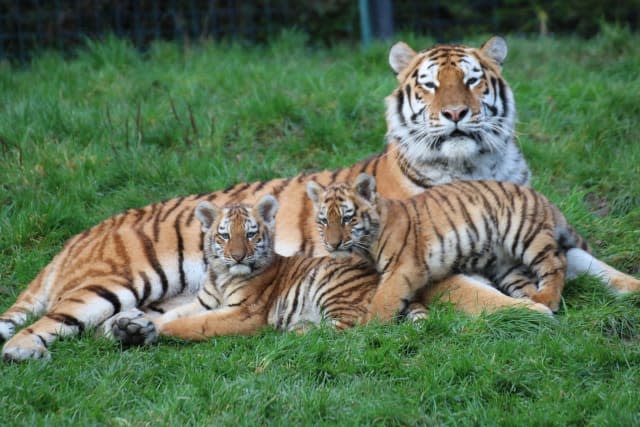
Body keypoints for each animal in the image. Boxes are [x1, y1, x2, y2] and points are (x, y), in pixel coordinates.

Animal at [0, 36, 632, 362]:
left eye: (473, 80)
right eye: (430, 84)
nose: (454, 114)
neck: (477, 163)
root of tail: (77, 235)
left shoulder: (539, 233)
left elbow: (606, 270)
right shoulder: (427, 264)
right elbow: (480, 297)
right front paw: (532, 314)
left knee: (133, 323)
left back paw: (130, 332)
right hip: (117, 280)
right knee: (47, 324)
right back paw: (24, 354)